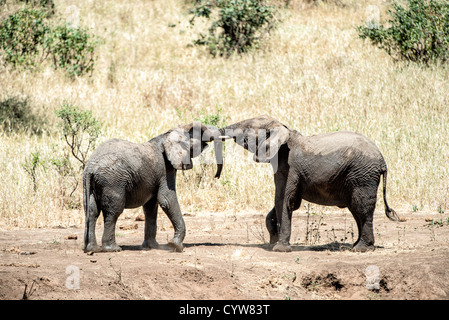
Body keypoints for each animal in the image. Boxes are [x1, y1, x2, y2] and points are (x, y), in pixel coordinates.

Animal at [82, 122, 222, 252]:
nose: (216, 176)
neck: (165, 136)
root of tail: (91, 167)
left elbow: (151, 207)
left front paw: (153, 247)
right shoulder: (165, 168)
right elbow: (166, 199)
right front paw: (175, 246)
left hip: (89, 183)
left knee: (92, 211)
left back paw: (92, 249)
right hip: (113, 181)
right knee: (113, 210)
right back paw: (113, 249)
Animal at [219, 115, 398, 252]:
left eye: (247, 128)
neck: (284, 130)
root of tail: (382, 161)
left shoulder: (289, 167)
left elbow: (284, 200)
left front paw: (279, 249)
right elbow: (282, 202)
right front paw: (273, 242)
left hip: (363, 176)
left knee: (361, 207)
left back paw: (361, 249)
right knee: (355, 209)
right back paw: (357, 245)